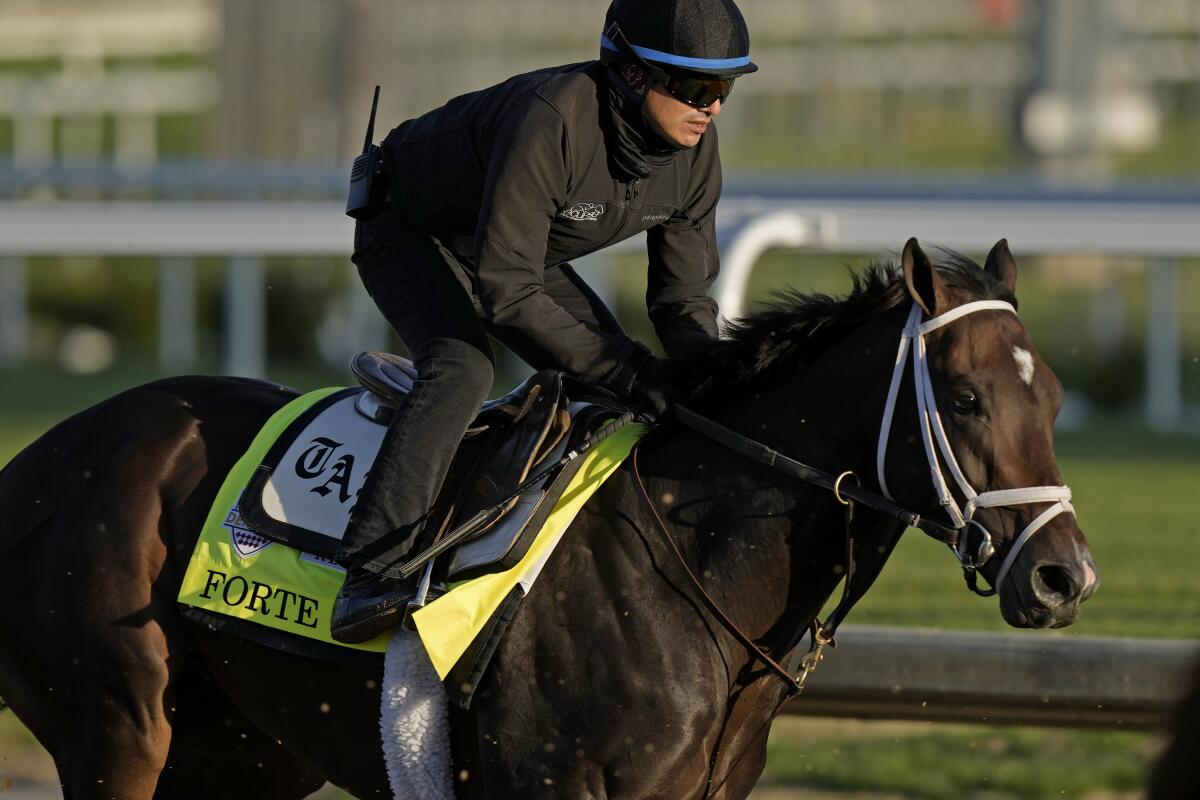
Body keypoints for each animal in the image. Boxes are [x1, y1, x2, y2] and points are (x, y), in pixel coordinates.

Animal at [0, 239, 1099, 800]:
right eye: (965, 398)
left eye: (1051, 402)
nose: (1064, 576)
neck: (695, 572)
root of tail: (37, 464)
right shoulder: (562, 786)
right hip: (118, 726)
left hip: (247, 756)